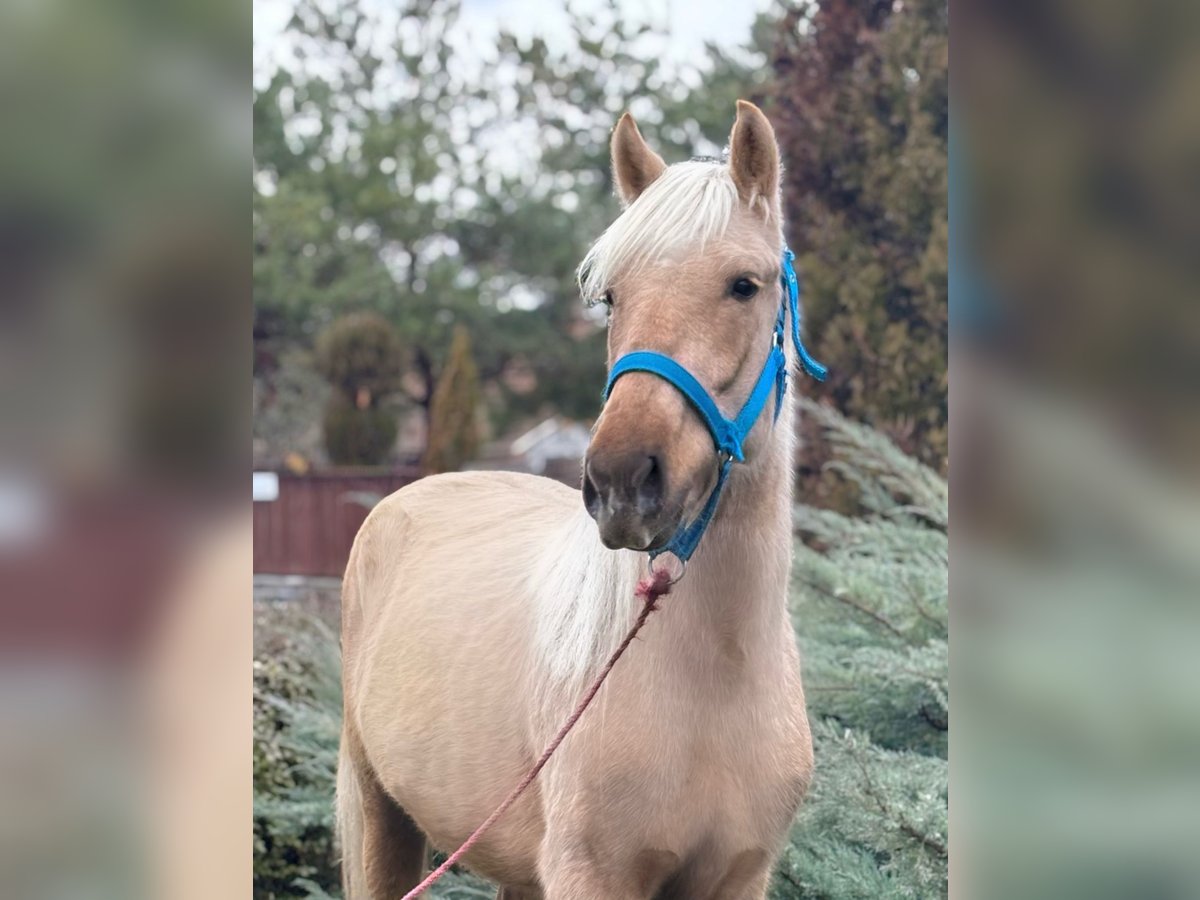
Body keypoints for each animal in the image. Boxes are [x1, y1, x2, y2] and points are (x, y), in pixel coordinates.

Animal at [343, 102, 820, 897]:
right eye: (611, 297)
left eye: (744, 286)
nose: (624, 481)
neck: (716, 681)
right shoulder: (590, 874)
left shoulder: (739, 876)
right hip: (378, 814)